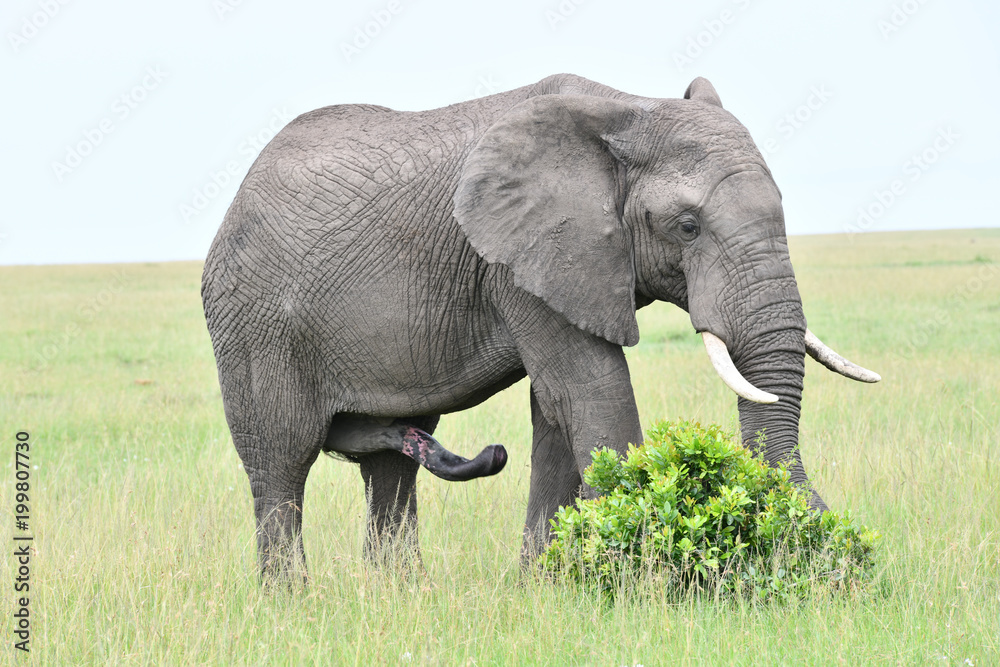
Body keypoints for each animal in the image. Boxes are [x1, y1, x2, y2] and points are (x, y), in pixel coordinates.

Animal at [201, 73, 880, 582]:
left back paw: (400, 592)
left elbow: (554, 408)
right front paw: (637, 574)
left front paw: (541, 584)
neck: (626, 110)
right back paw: (291, 601)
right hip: (253, 323)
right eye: (687, 227)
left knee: (394, 463)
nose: (834, 547)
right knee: (281, 460)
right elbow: (592, 390)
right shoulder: (518, 258)